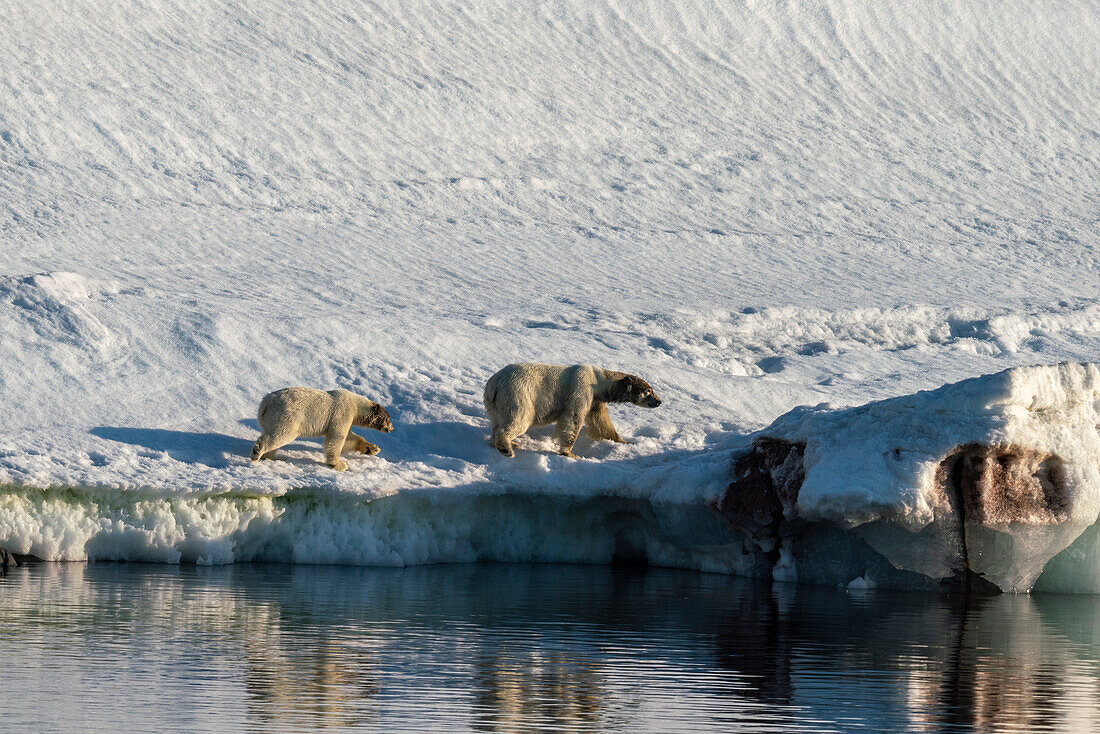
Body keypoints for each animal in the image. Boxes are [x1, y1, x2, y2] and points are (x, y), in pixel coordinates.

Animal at [250, 387, 396, 473]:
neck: (356, 405)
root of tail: (266, 403)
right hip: (288, 416)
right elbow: (337, 437)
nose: (392, 429)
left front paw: (373, 449)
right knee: (281, 434)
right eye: (388, 418)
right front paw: (340, 465)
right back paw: (257, 452)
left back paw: (274, 458)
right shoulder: (342, 412)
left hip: (268, 419)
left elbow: (349, 438)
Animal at [484, 363, 660, 459]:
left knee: (497, 423)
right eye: (648, 392)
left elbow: (601, 422)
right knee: (519, 420)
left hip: (495, 405)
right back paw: (507, 448)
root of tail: (494, 384)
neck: (599, 379)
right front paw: (570, 453)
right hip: (518, 395)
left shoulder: (595, 399)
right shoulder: (582, 388)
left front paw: (625, 442)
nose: (659, 401)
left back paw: (509, 443)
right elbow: (574, 418)